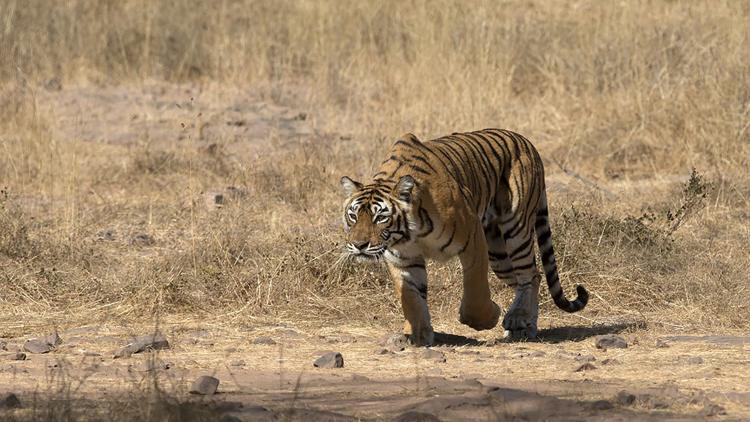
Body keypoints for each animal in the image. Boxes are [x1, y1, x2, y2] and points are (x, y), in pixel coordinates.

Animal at [340, 129, 588, 346]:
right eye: (353, 216)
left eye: (380, 217)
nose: (359, 245)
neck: (409, 233)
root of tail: (527, 142)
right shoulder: (403, 258)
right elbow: (412, 299)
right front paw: (417, 335)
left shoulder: (472, 236)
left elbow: (475, 290)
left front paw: (489, 317)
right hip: (499, 254)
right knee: (527, 278)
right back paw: (523, 325)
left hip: (516, 228)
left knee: (530, 274)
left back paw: (519, 320)